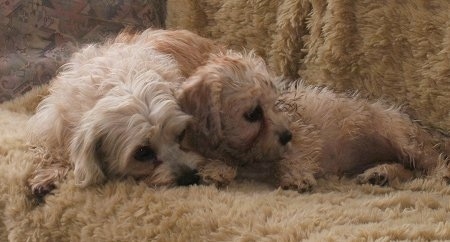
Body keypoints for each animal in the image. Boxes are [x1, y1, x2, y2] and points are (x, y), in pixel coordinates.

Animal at [274, 81, 450, 191]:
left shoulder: (300, 131)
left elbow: (293, 157)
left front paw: (296, 177)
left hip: (402, 137)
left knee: (435, 159)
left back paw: (441, 175)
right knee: (408, 169)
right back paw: (379, 174)